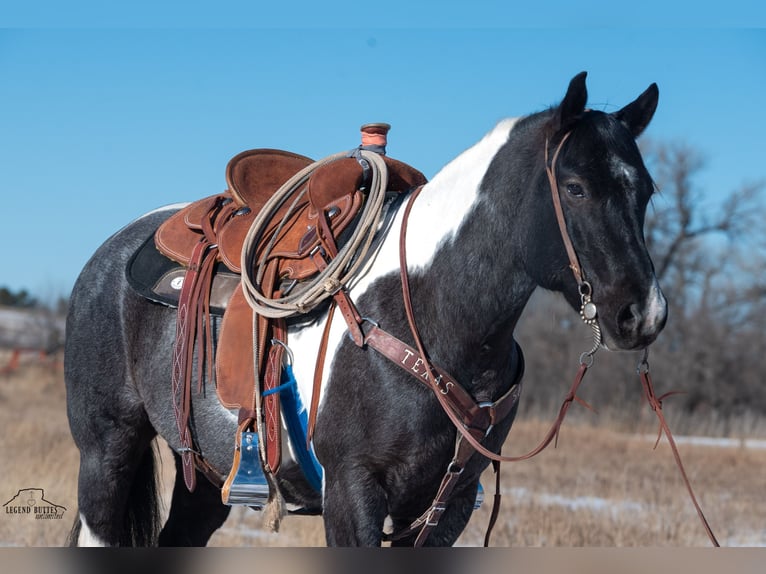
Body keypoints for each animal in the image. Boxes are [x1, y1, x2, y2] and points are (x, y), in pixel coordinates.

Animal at [64, 73, 664, 548]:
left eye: (647, 191)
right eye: (575, 187)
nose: (644, 314)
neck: (428, 309)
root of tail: (112, 251)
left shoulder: (444, 506)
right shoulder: (353, 491)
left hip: (209, 478)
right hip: (106, 452)